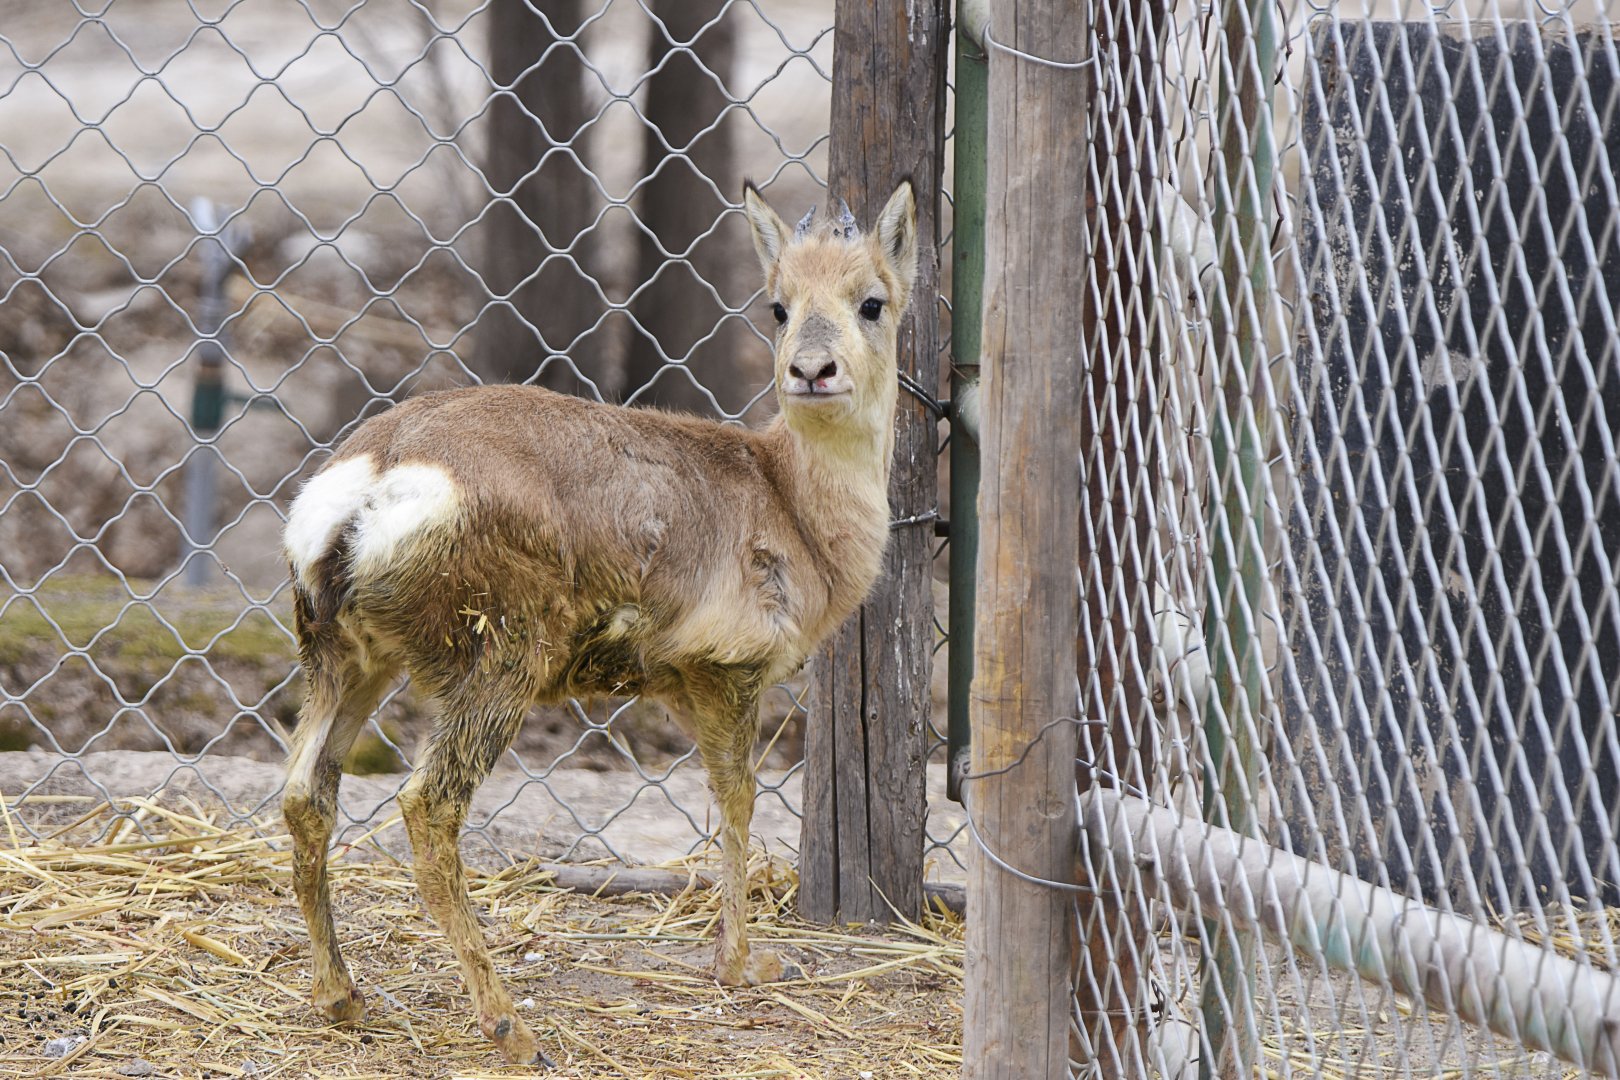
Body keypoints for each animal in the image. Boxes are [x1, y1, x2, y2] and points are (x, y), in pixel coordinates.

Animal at [280, 180, 918, 1066]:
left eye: (872, 301)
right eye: (778, 305)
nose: (812, 370)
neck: (794, 508)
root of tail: (368, 489)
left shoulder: (680, 680)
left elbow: (726, 800)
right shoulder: (729, 665)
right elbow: (739, 802)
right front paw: (745, 964)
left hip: (346, 652)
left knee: (305, 791)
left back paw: (342, 997)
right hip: (505, 645)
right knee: (426, 805)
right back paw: (511, 1027)